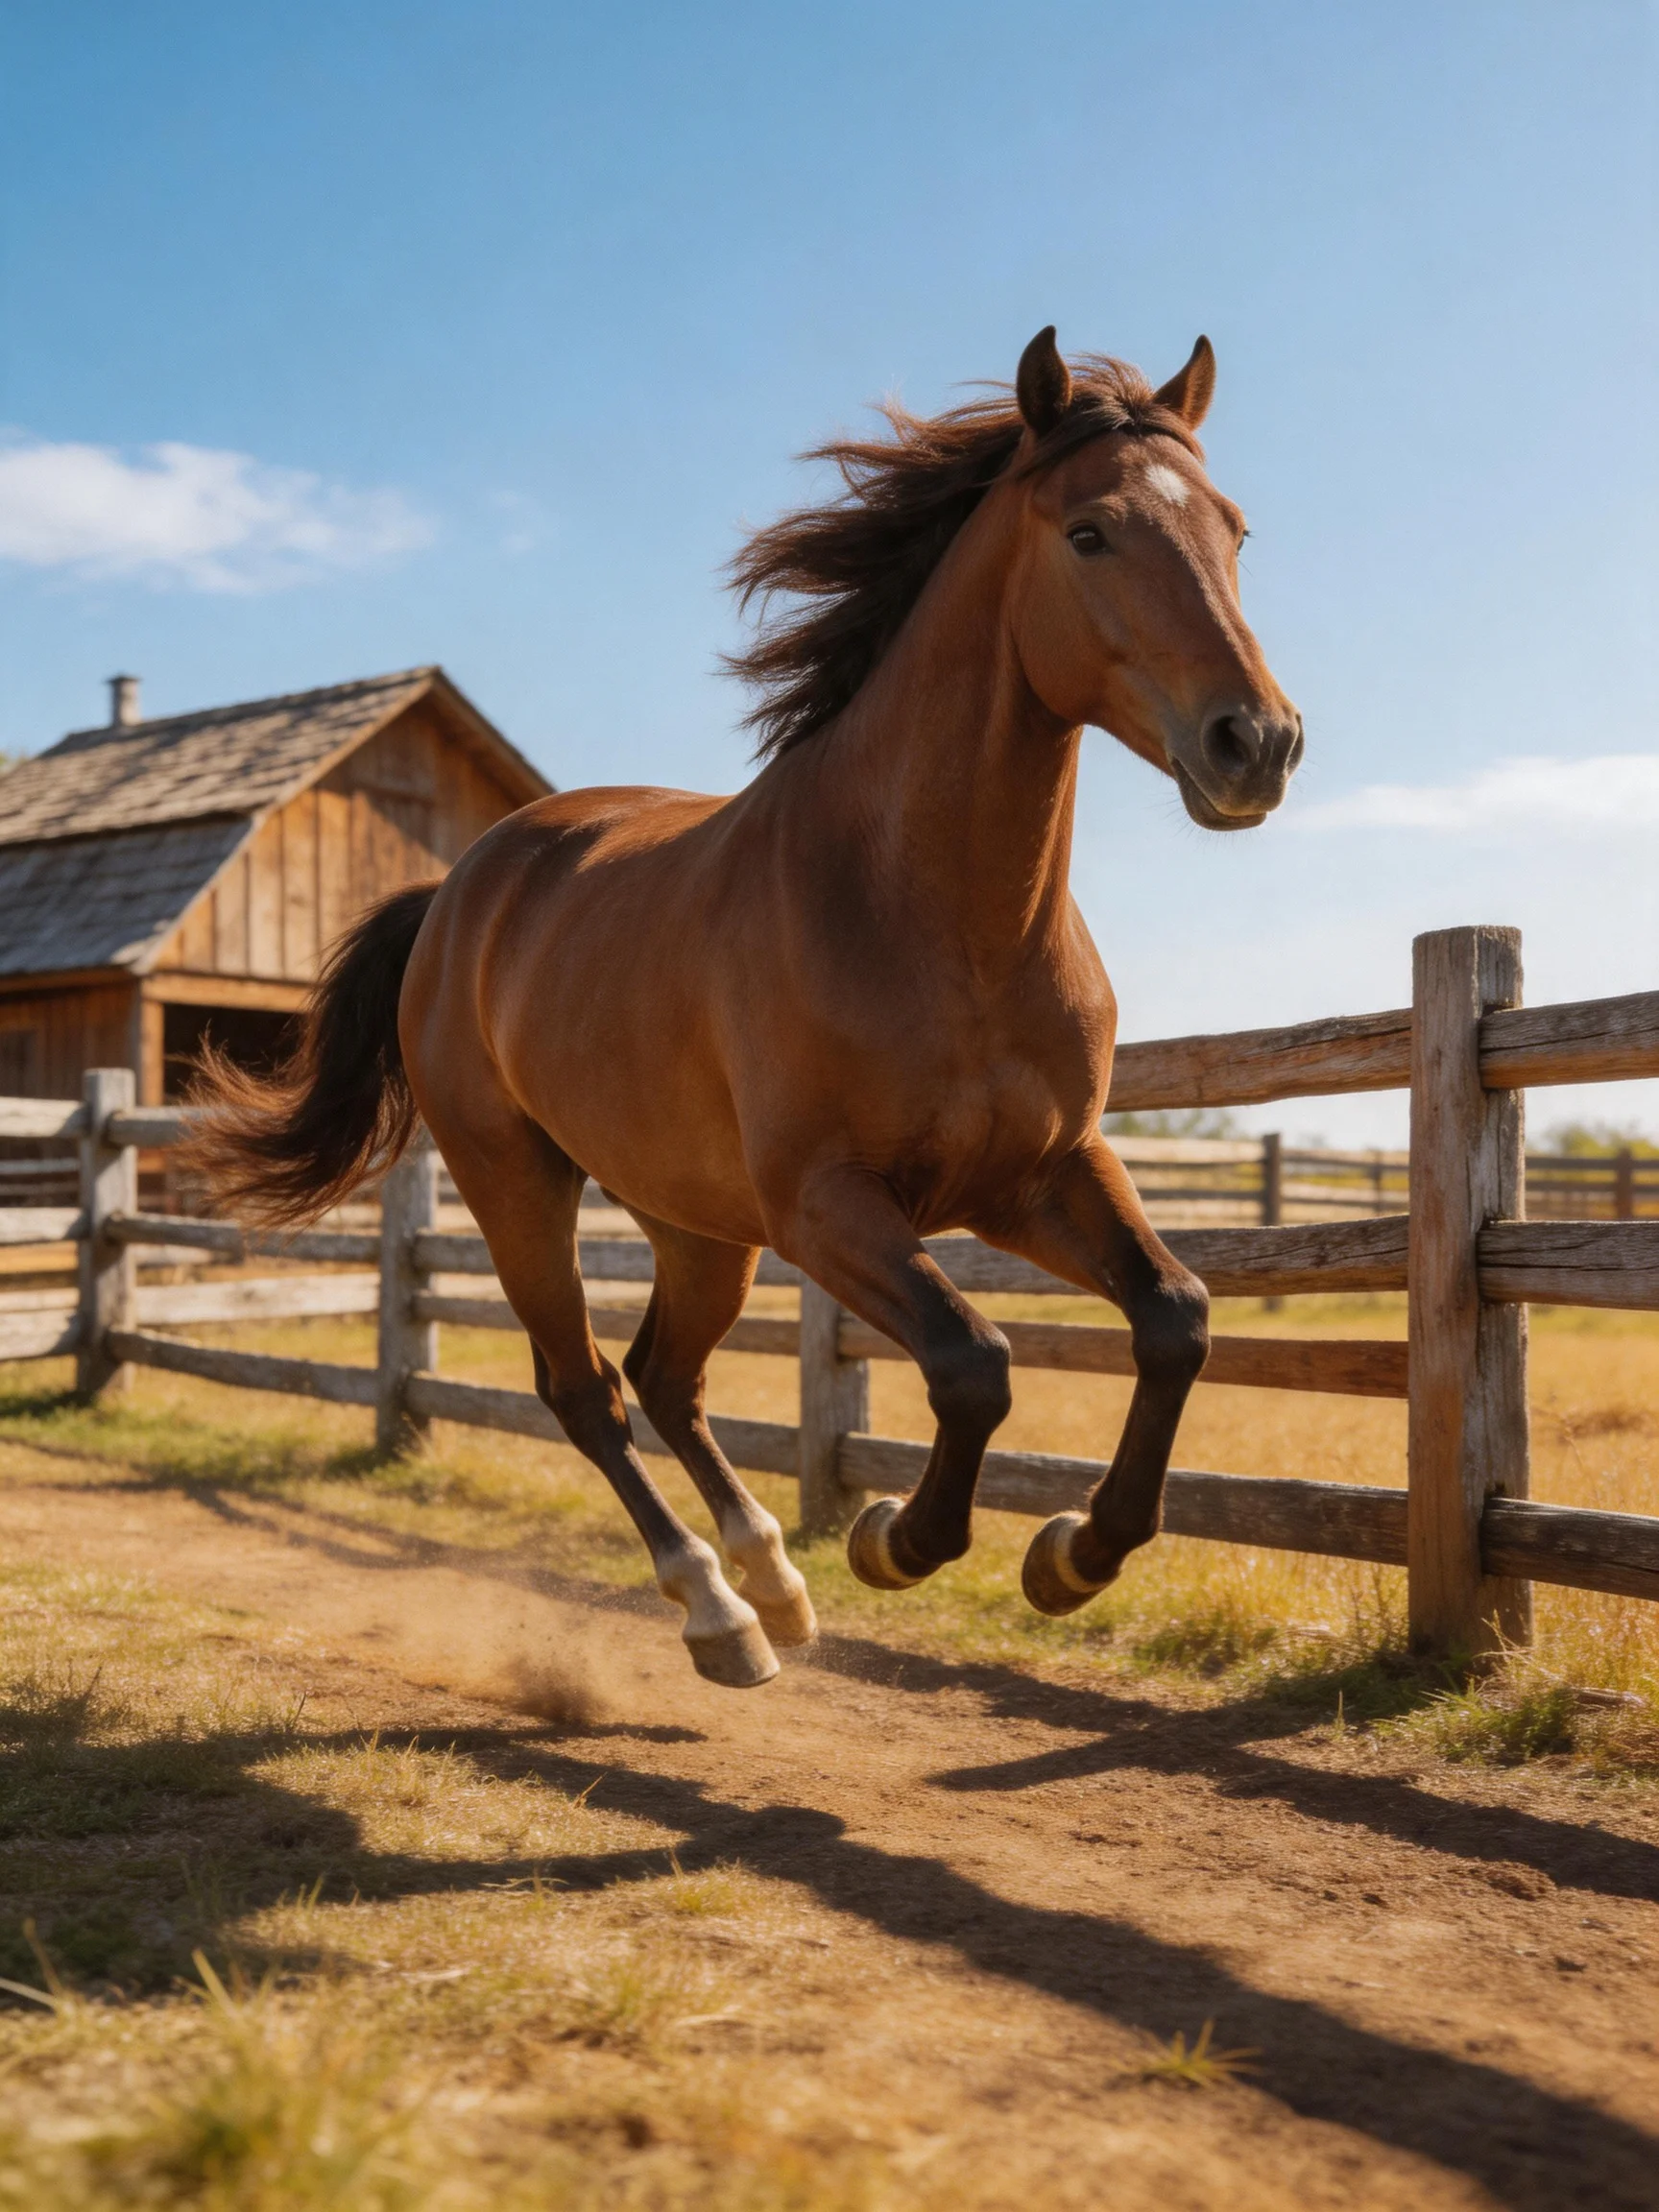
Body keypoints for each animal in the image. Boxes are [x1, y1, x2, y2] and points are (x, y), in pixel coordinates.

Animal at [196, 328, 1301, 1690]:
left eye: (1235, 530)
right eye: (1089, 531)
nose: (1257, 742)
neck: (932, 918)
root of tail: (457, 892)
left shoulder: (1042, 1174)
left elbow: (1176, 1322)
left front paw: (1073, 1555)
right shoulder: (826, 1204)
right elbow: (972, 1363)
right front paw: (897, 1539)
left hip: (693, 1216)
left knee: (667, 1376)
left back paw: (773, 1583)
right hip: (518, 1182)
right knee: (587, 1388)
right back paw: (718, 1613)